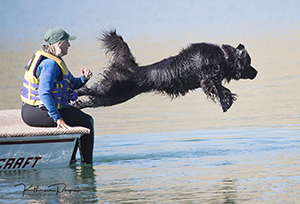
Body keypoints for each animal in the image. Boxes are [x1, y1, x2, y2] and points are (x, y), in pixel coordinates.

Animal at [73, 29, 258, 112]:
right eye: (249, 62)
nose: (256, 72)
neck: (223, 57)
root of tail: (132, 67)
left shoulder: (210, 81)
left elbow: (223, 89)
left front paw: (227, 102)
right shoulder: (207, 80)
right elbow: (221, 89)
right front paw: (226, 102)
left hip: (114, 97)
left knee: (90, 101)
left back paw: (76, 105)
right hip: (111, 88)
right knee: (88, 89)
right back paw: (73, 92)